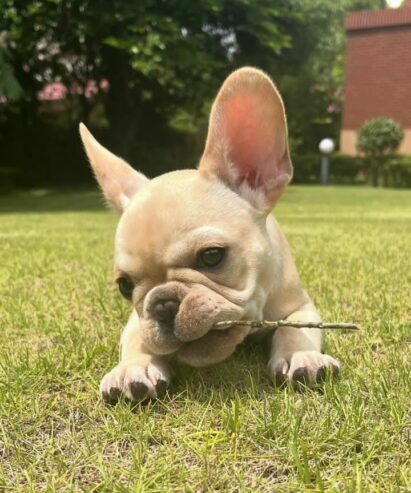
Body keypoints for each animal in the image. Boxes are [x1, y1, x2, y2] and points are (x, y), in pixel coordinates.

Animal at [79, 66, 342, 404]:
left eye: (212, 256)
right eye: (125, 286)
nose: (163, 304)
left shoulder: (300, 306)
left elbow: (293, 328)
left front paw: (301, 356)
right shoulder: (138, 321)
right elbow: (138, 338)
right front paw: (135, 366)